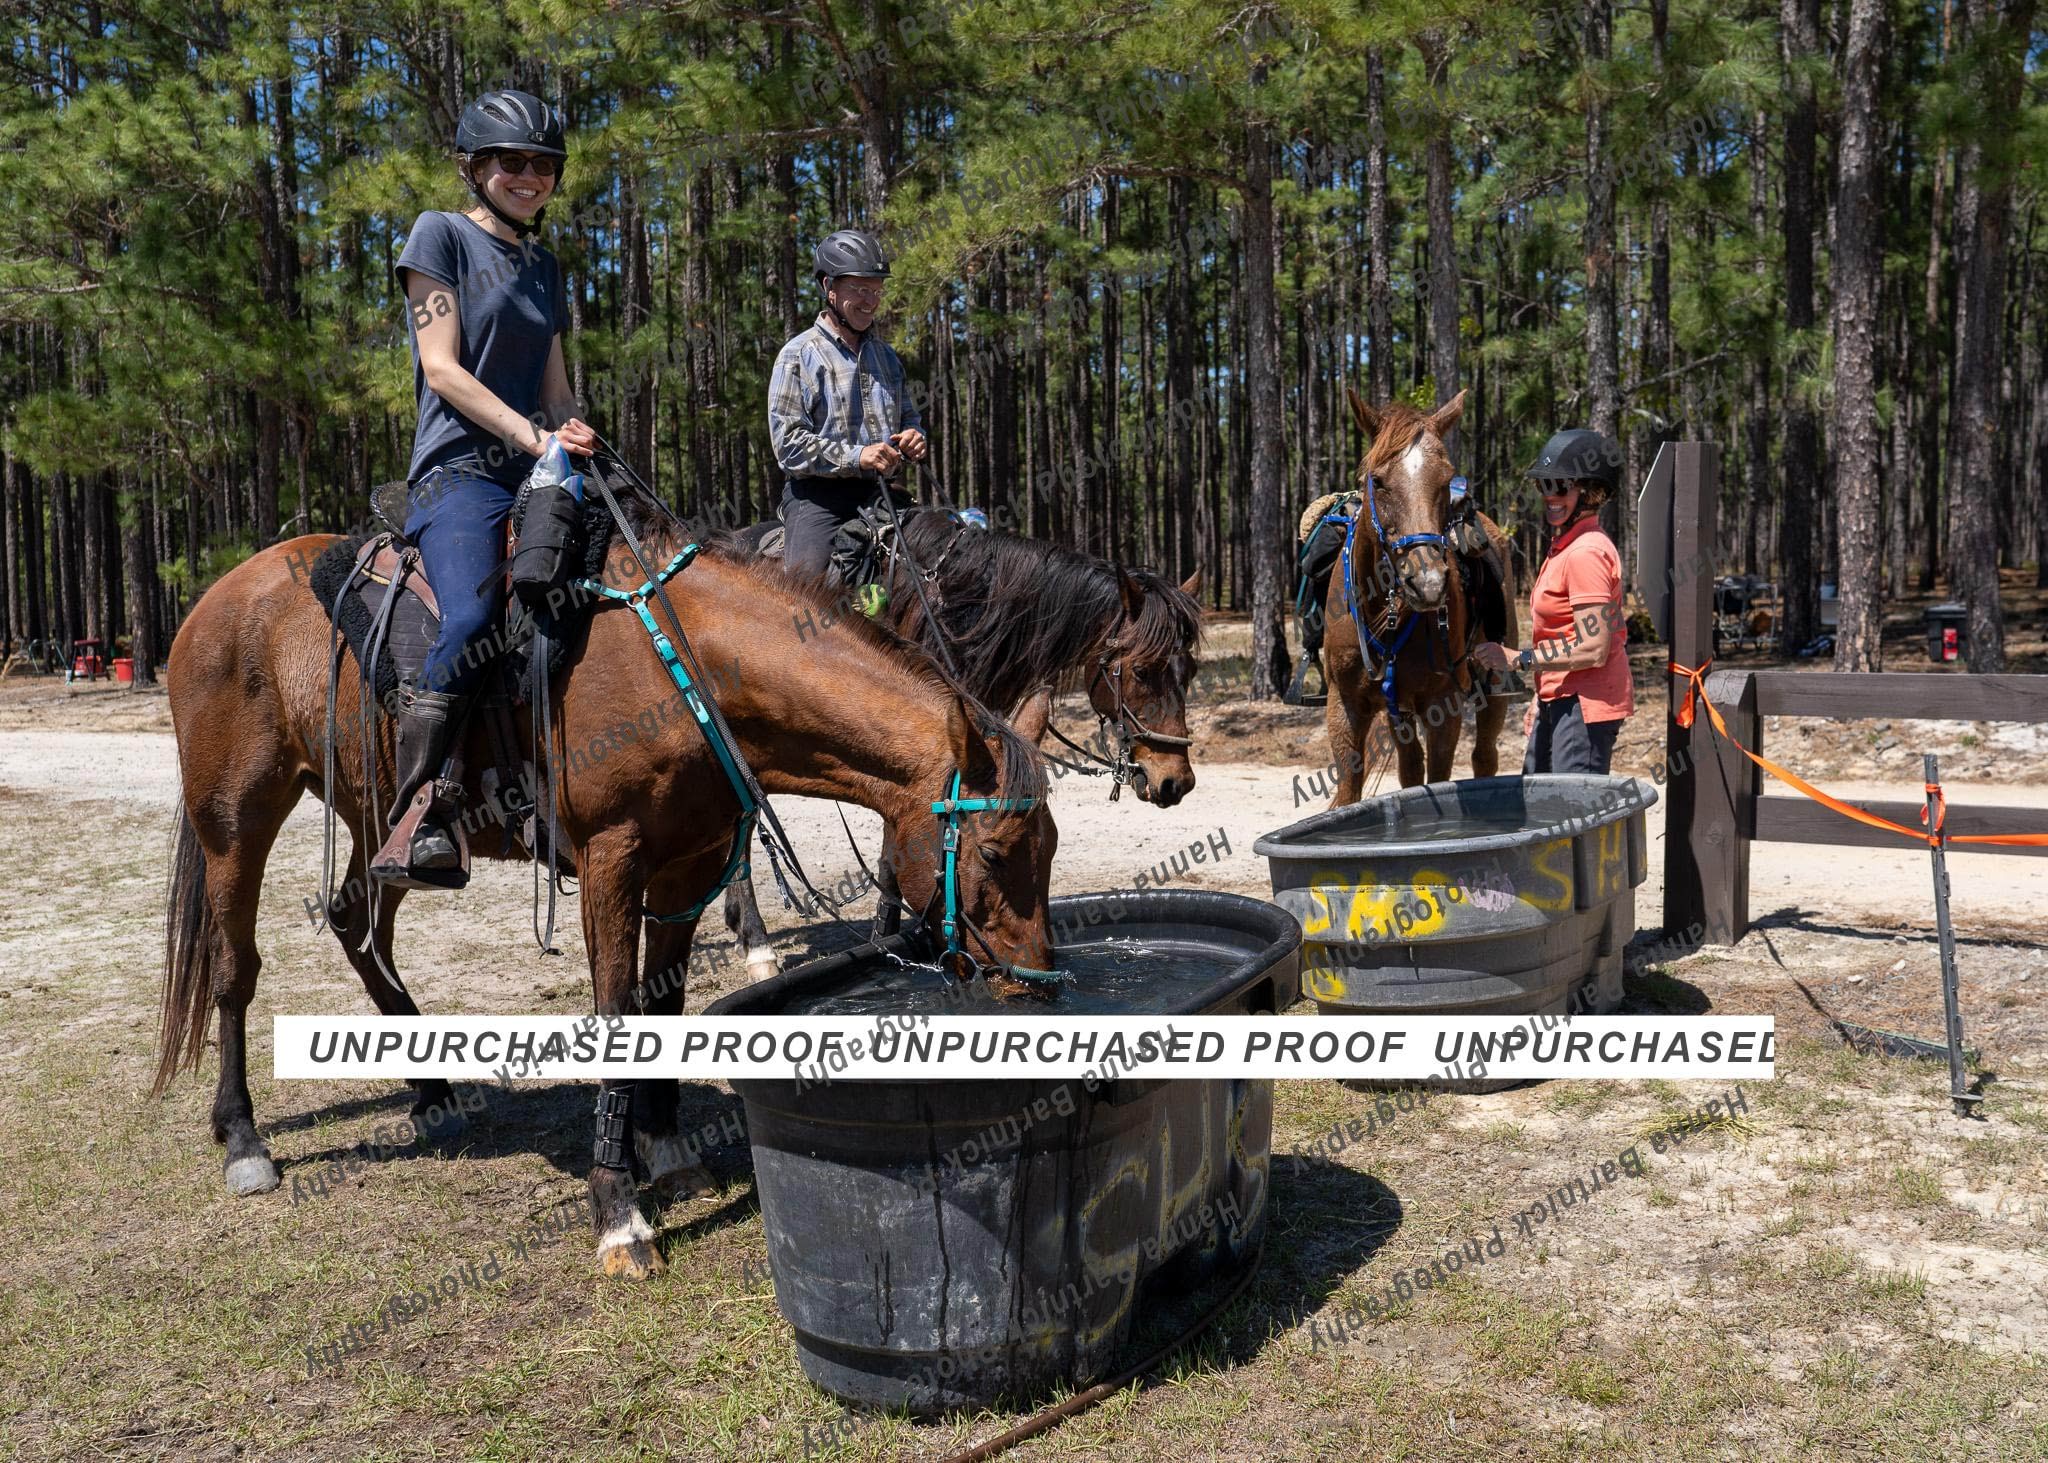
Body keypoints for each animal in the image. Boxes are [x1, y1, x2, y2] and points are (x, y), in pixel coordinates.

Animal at [154, 498, 1057, 1280]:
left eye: (1047, 848)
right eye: (996, 851)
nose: (1036, 985)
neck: (690, 667)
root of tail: (218, 599)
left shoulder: (689, 861)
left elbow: (664, 1006)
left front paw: (668, 1152)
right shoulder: (610, 859)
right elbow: (620, 1011)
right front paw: (620, 1214)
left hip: (387, 826)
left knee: (352, 918)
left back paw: (432, 1087)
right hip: (235, 819)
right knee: (235, 968)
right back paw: (244, 1139)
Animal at [1320, 389, 1519, 803]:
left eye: (1445, 480)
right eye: (1377, 481)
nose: (1427, 583)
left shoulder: (1443, 704)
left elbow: (1440, 775)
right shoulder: (1345, 705)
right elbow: (1350, 790)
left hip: (1493, 688)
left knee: (1484, 757)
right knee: (1410, 768)